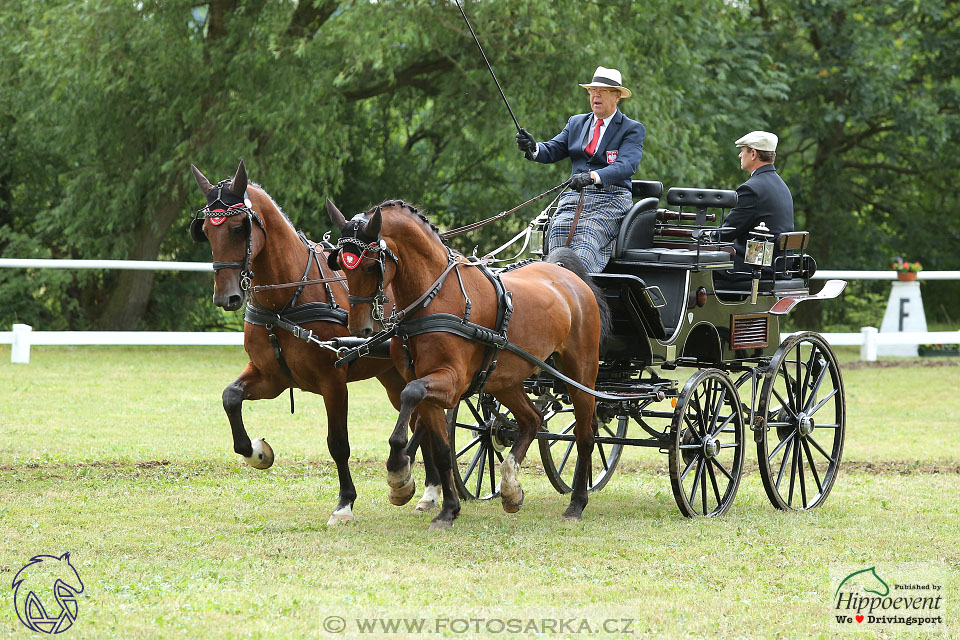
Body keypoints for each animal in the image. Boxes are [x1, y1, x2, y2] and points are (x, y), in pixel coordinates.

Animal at [188, 161, 442, 524]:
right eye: (207, 231)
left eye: (238, 228)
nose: (226, 297)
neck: (285, 303)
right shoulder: (271, 378)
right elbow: (231, 398)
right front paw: (258, 453)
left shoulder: (332, 381)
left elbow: (338, 443)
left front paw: (345, 503)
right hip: (392, 376)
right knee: (421, 416)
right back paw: (427, 489)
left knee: (422, 419)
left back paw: (414, 482)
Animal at [322, 201, 608, 528]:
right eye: (341, 265)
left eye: (371, 266)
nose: (359, 327)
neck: (434, 298)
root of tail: (566, 276)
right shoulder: (427, 385)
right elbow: (442, 448)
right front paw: (448, 508)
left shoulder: (451, 382)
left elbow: (410, 395)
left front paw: (398, 475)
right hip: (505, 380)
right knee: (532, 420)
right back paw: (511, 488)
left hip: (581, 373)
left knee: (585, 434)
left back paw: (577, 502)